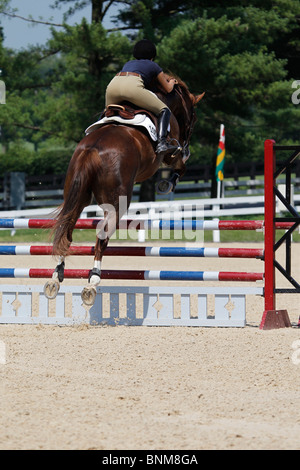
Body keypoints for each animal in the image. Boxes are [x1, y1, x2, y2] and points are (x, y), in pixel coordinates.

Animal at [44, 77, 204, 304]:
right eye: (194, 116)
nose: (187, 145)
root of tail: (92, 149)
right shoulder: (170, 155)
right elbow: (181, 167)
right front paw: (167, 184)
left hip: (77, 196)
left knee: (67, 231)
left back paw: (56, 277)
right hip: (117, 203)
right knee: (101, 236)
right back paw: (92, 281)